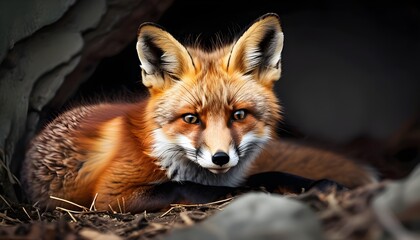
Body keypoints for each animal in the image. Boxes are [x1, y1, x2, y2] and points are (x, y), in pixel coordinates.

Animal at [20, 12, 378, 212]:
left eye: (238, 115)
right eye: (191, 118)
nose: (220, 158)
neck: (161, 147)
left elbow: (273, 173)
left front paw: (319, 183)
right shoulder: (109, 195)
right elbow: (185, 187)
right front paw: (243, 192)